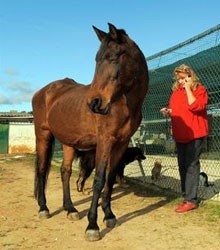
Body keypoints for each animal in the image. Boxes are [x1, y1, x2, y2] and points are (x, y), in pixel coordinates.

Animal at [32, 23, 150, 240]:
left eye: (113, 57)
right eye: (97, 59)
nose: (94, 103)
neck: (123, 104)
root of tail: (44, 91)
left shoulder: (121, 143)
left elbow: (110, 178)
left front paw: (109, 215)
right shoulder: (104, 140)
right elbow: (98, 179)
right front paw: (92, 225)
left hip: (68, 142)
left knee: (65, 172)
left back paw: (70, 209)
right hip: (43, 135)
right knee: (42, 170)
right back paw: (44, 208)